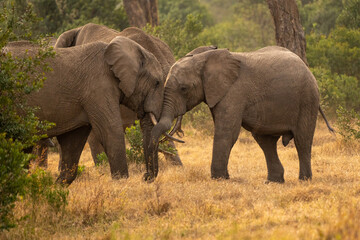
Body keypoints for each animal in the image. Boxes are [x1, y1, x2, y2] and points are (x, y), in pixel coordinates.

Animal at [4, 36, 165, 185]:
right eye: (157, 83)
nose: (145, 176)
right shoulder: (98, 88)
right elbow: (111, 131)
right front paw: (121, 184)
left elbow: (73, 141)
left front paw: (56, 186)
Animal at [150, 46, 334, 183]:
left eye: (184, 89)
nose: (149, 177)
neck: (203, 58)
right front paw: (223, 177)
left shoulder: (233, 92)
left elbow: (227, 132)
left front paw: (218, 179)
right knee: (265, 141)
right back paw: (273, 181)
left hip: (307, 99)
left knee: (302, 140)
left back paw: (304, 180)